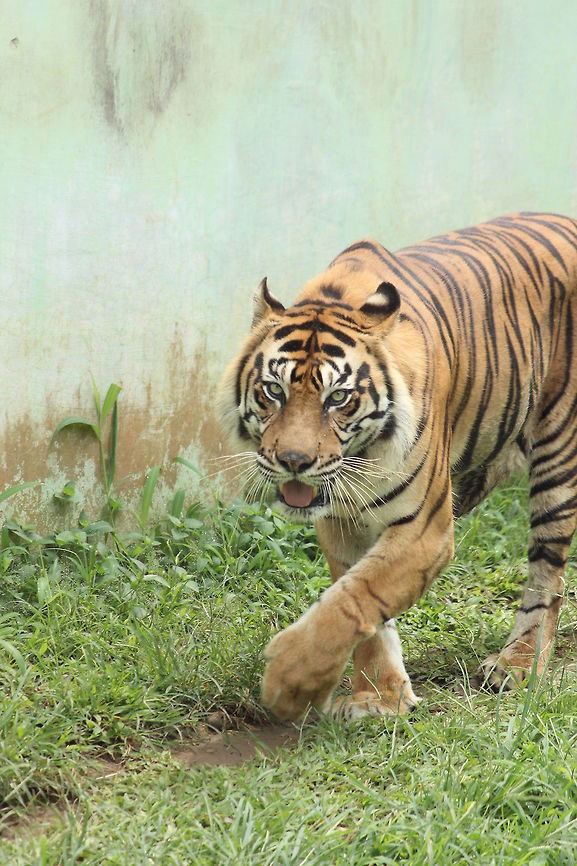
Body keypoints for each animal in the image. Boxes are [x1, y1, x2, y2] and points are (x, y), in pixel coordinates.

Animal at [218, 212, 577, 721]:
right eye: (274, 391)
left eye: (338, 398)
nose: (294, 462)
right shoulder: (343, 523)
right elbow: (358, 603)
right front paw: (380, 697)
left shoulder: (427, 530)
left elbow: (354, 600)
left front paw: (291, 683)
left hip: (557, 453)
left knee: (548, 576)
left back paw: (518, 664)